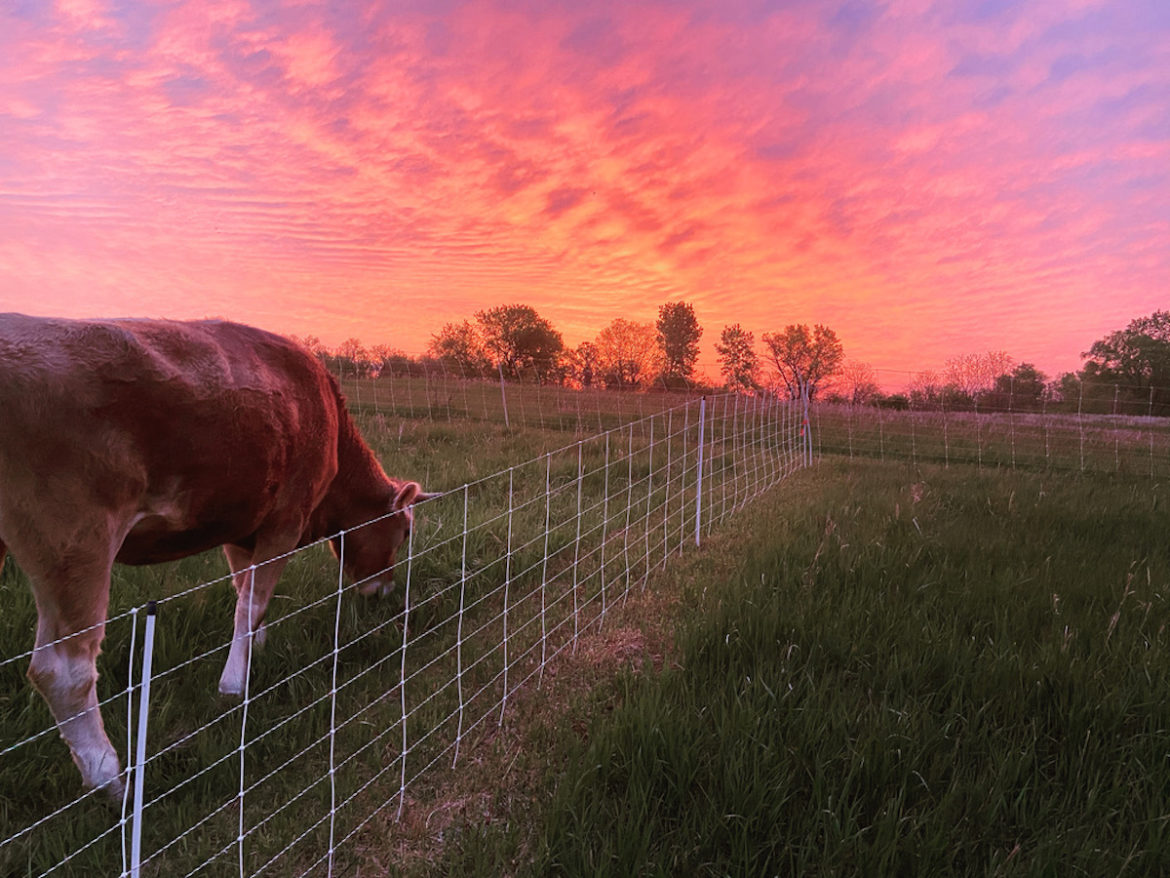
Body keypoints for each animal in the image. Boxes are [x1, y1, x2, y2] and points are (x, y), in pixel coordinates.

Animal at [0, 313, 435, 799]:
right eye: (406, 531)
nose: (385, 590)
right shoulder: (286, 520)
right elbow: (251, 603)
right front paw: (233, 685)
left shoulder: (241, 528)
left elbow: (247, 594)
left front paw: (254, 647)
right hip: (74, 540)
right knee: (61, 670)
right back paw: (109, 778)